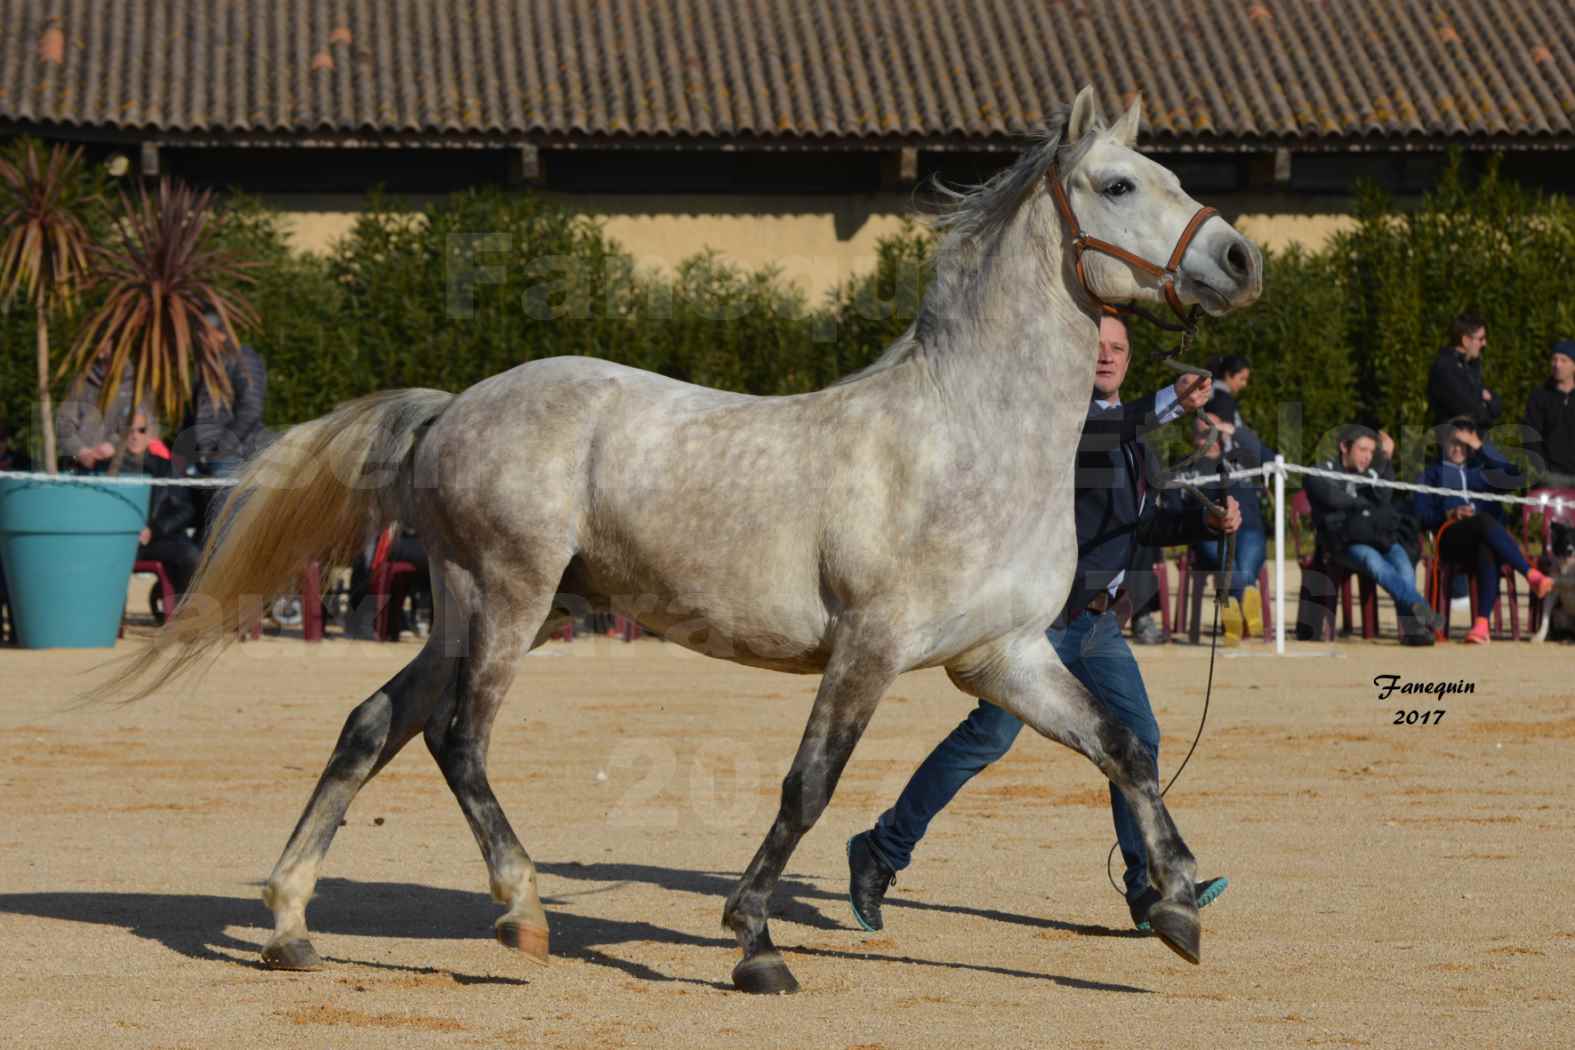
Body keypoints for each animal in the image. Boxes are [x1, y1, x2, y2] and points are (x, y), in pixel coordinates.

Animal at [111, 86, 1260, 988]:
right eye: (1117, 185)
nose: (1242, 260)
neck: (968, 438)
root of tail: (451, 409)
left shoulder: (1000, 658)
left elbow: (1124, 746)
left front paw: (1175, 908)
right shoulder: (870, 648)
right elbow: (808, 786)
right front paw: (754, 943)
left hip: (472, 609)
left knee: (371, 725)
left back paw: (289, 924)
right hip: (505, 597)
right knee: (456, 740)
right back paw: (522, 912)